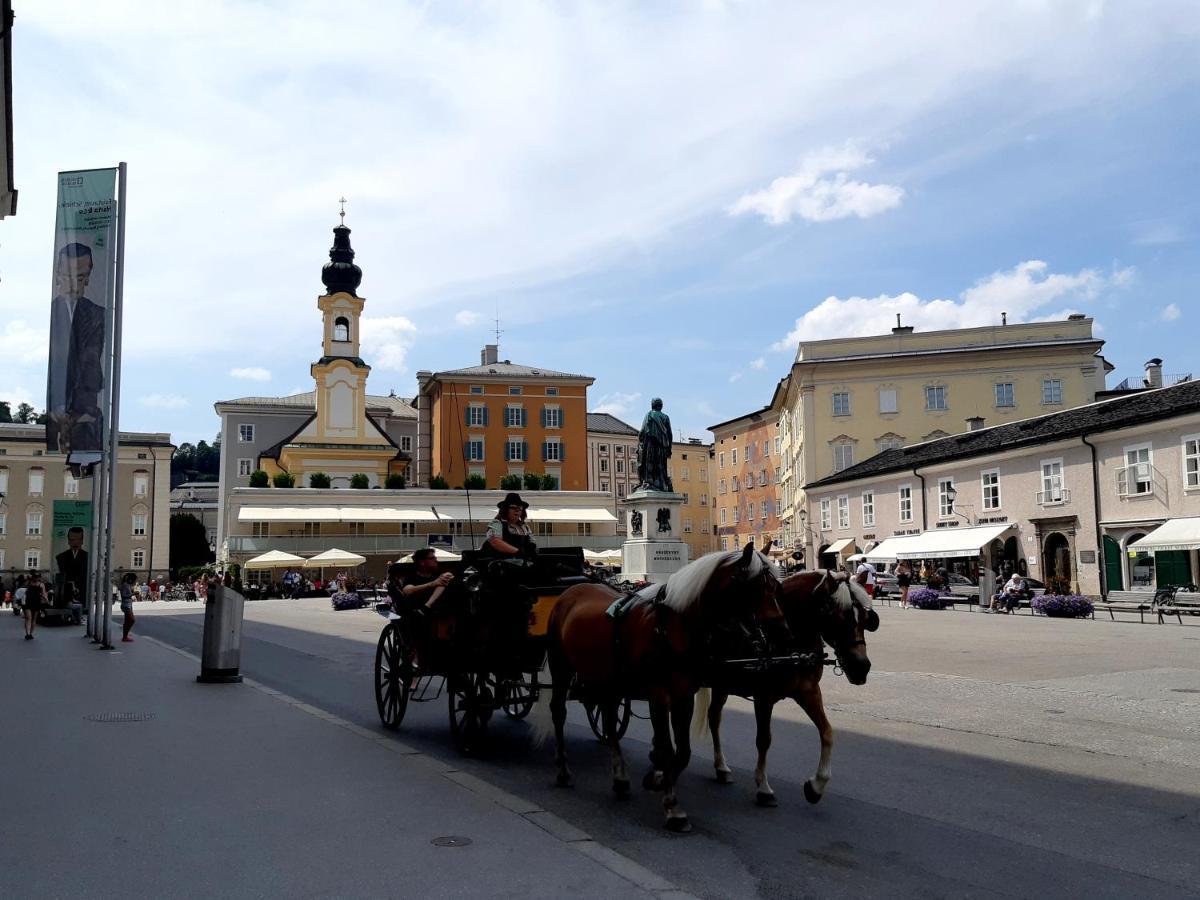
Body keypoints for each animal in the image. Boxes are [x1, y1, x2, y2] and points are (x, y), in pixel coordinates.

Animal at [535, 542, 787, 830]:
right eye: (756, 587)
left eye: (777, 587)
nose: (782, 632)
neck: (673, 627)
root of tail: (573, 589)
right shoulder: (658, 695)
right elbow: (667, 748)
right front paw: (671, 805)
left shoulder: (683, 696)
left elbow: (683, 751)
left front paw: (657, 780)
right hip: (561, 667)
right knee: (558, 712)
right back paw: (563, 770)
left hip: (608, 681)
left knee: (608, 721)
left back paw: (620, 779)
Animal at [696, 571, 873, 811]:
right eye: (839, 618)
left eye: (864, 618)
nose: (861, 667)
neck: (788, 640)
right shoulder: (763, 697)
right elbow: (764, 739)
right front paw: (763, 787)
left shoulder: (809, 692)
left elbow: (827, 732)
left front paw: (816, 786)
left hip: (722, 684)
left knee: (714, 718)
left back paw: (721, 767)